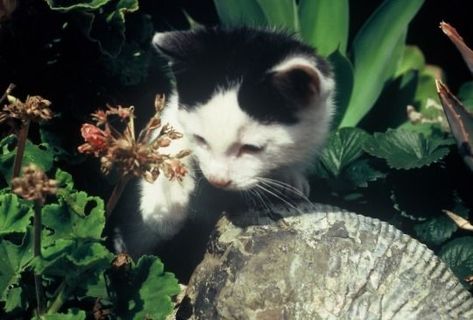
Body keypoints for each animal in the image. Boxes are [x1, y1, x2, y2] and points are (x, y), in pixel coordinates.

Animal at [135, 26, 334, 250]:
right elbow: (168, 136)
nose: (218, 180)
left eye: (252, 148)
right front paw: (164, 207)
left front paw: (289, 179)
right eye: (200, 139)